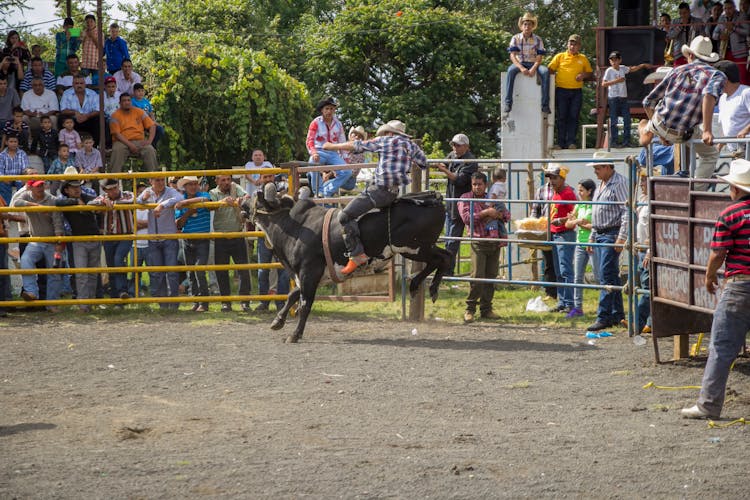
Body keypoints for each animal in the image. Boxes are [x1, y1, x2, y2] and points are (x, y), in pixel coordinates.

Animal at [244, 188, 450, 344]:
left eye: (256, 199)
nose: (242, 201)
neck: (295, 227)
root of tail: (434, 198)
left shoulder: (308, 272)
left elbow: (304, 304)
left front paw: (294, 335)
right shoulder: (313, 275)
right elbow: (293, 294)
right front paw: (277, 321)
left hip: (413, 247)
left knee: (442, 259)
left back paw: (421, 286)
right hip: (422, 247)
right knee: (445, 257)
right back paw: (424, 287)